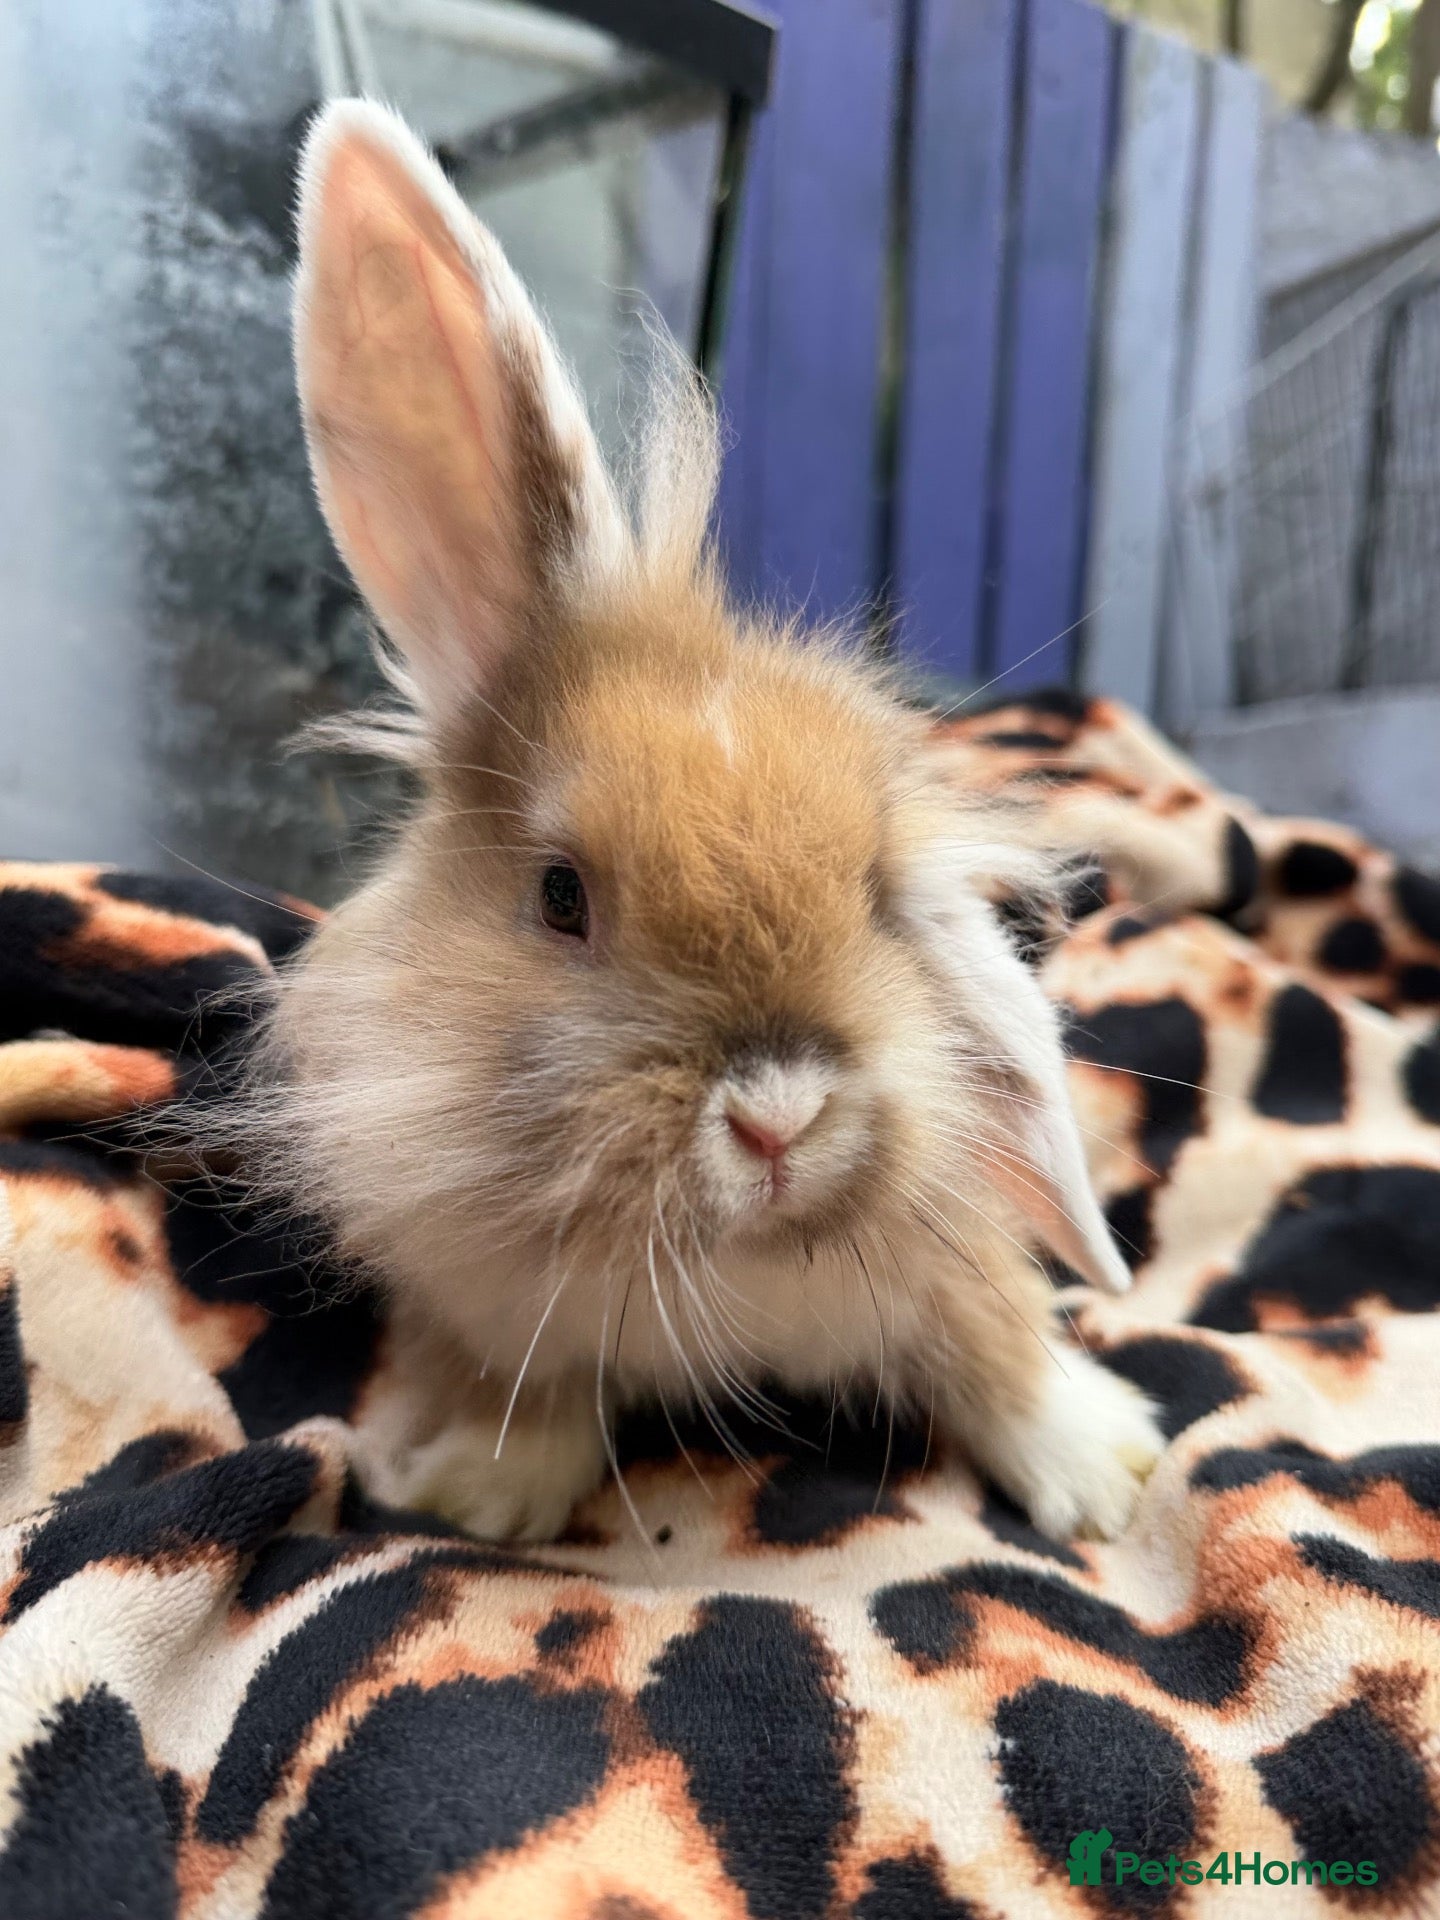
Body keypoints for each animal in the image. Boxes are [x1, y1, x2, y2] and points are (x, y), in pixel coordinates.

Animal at [245, 98, 1163, 1545]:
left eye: (873, 895)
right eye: (560, 895)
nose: (780, 1116)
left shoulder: (961, 1261)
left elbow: (998, 1339)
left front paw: (1103, 1477)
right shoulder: (500, 1315)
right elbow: (531, 1395)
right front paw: (481, 1498)